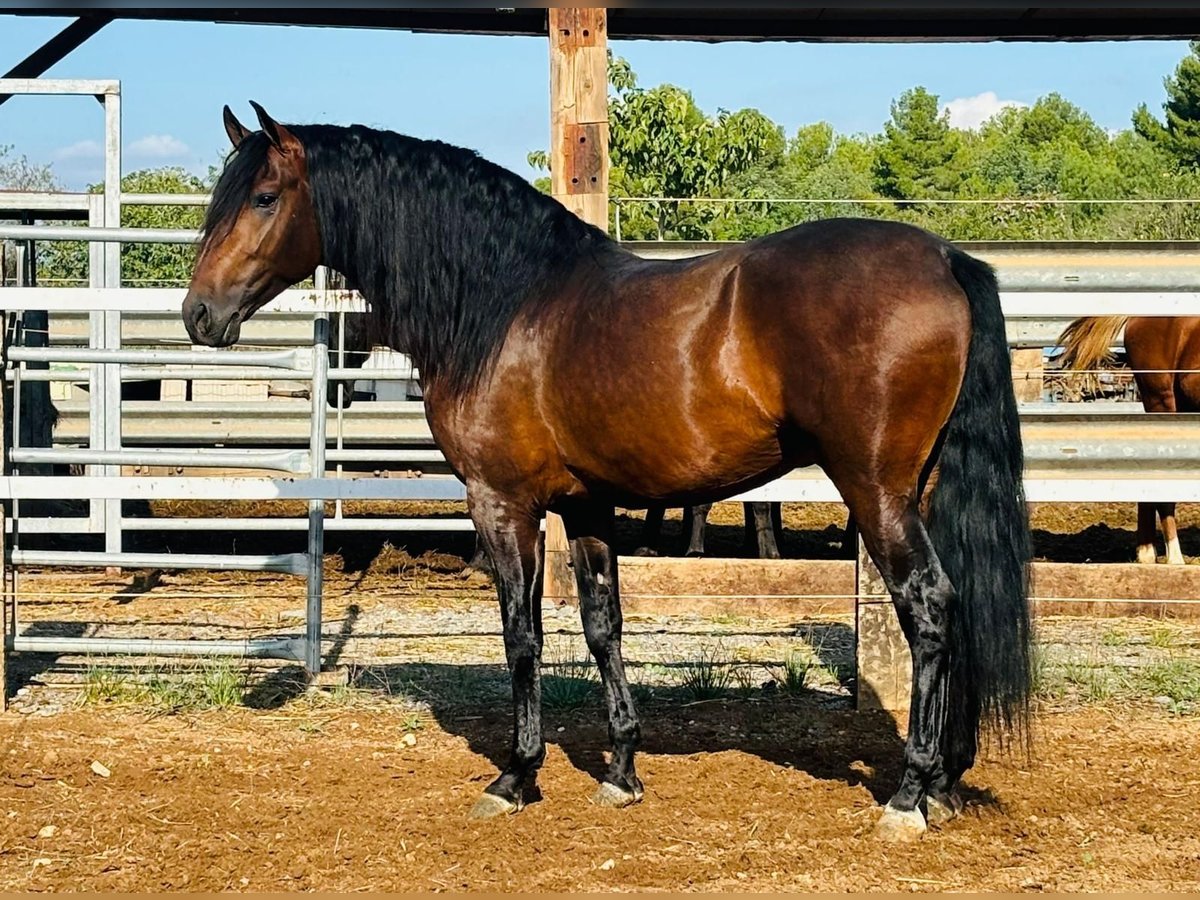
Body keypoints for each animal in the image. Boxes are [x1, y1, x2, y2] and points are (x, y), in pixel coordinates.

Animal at [180, 105, 1032, 844]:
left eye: (262, 197)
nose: (197, 315)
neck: (507, 304)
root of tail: (944, 257)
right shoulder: (585, 508)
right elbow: (602, 626)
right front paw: (621, 769)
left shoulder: (502, 505)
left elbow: (521, 634)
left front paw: (516, 776)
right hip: (919, 489)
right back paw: (948, 781)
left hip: (877, 492)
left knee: (929, 606)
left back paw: (911, 793)